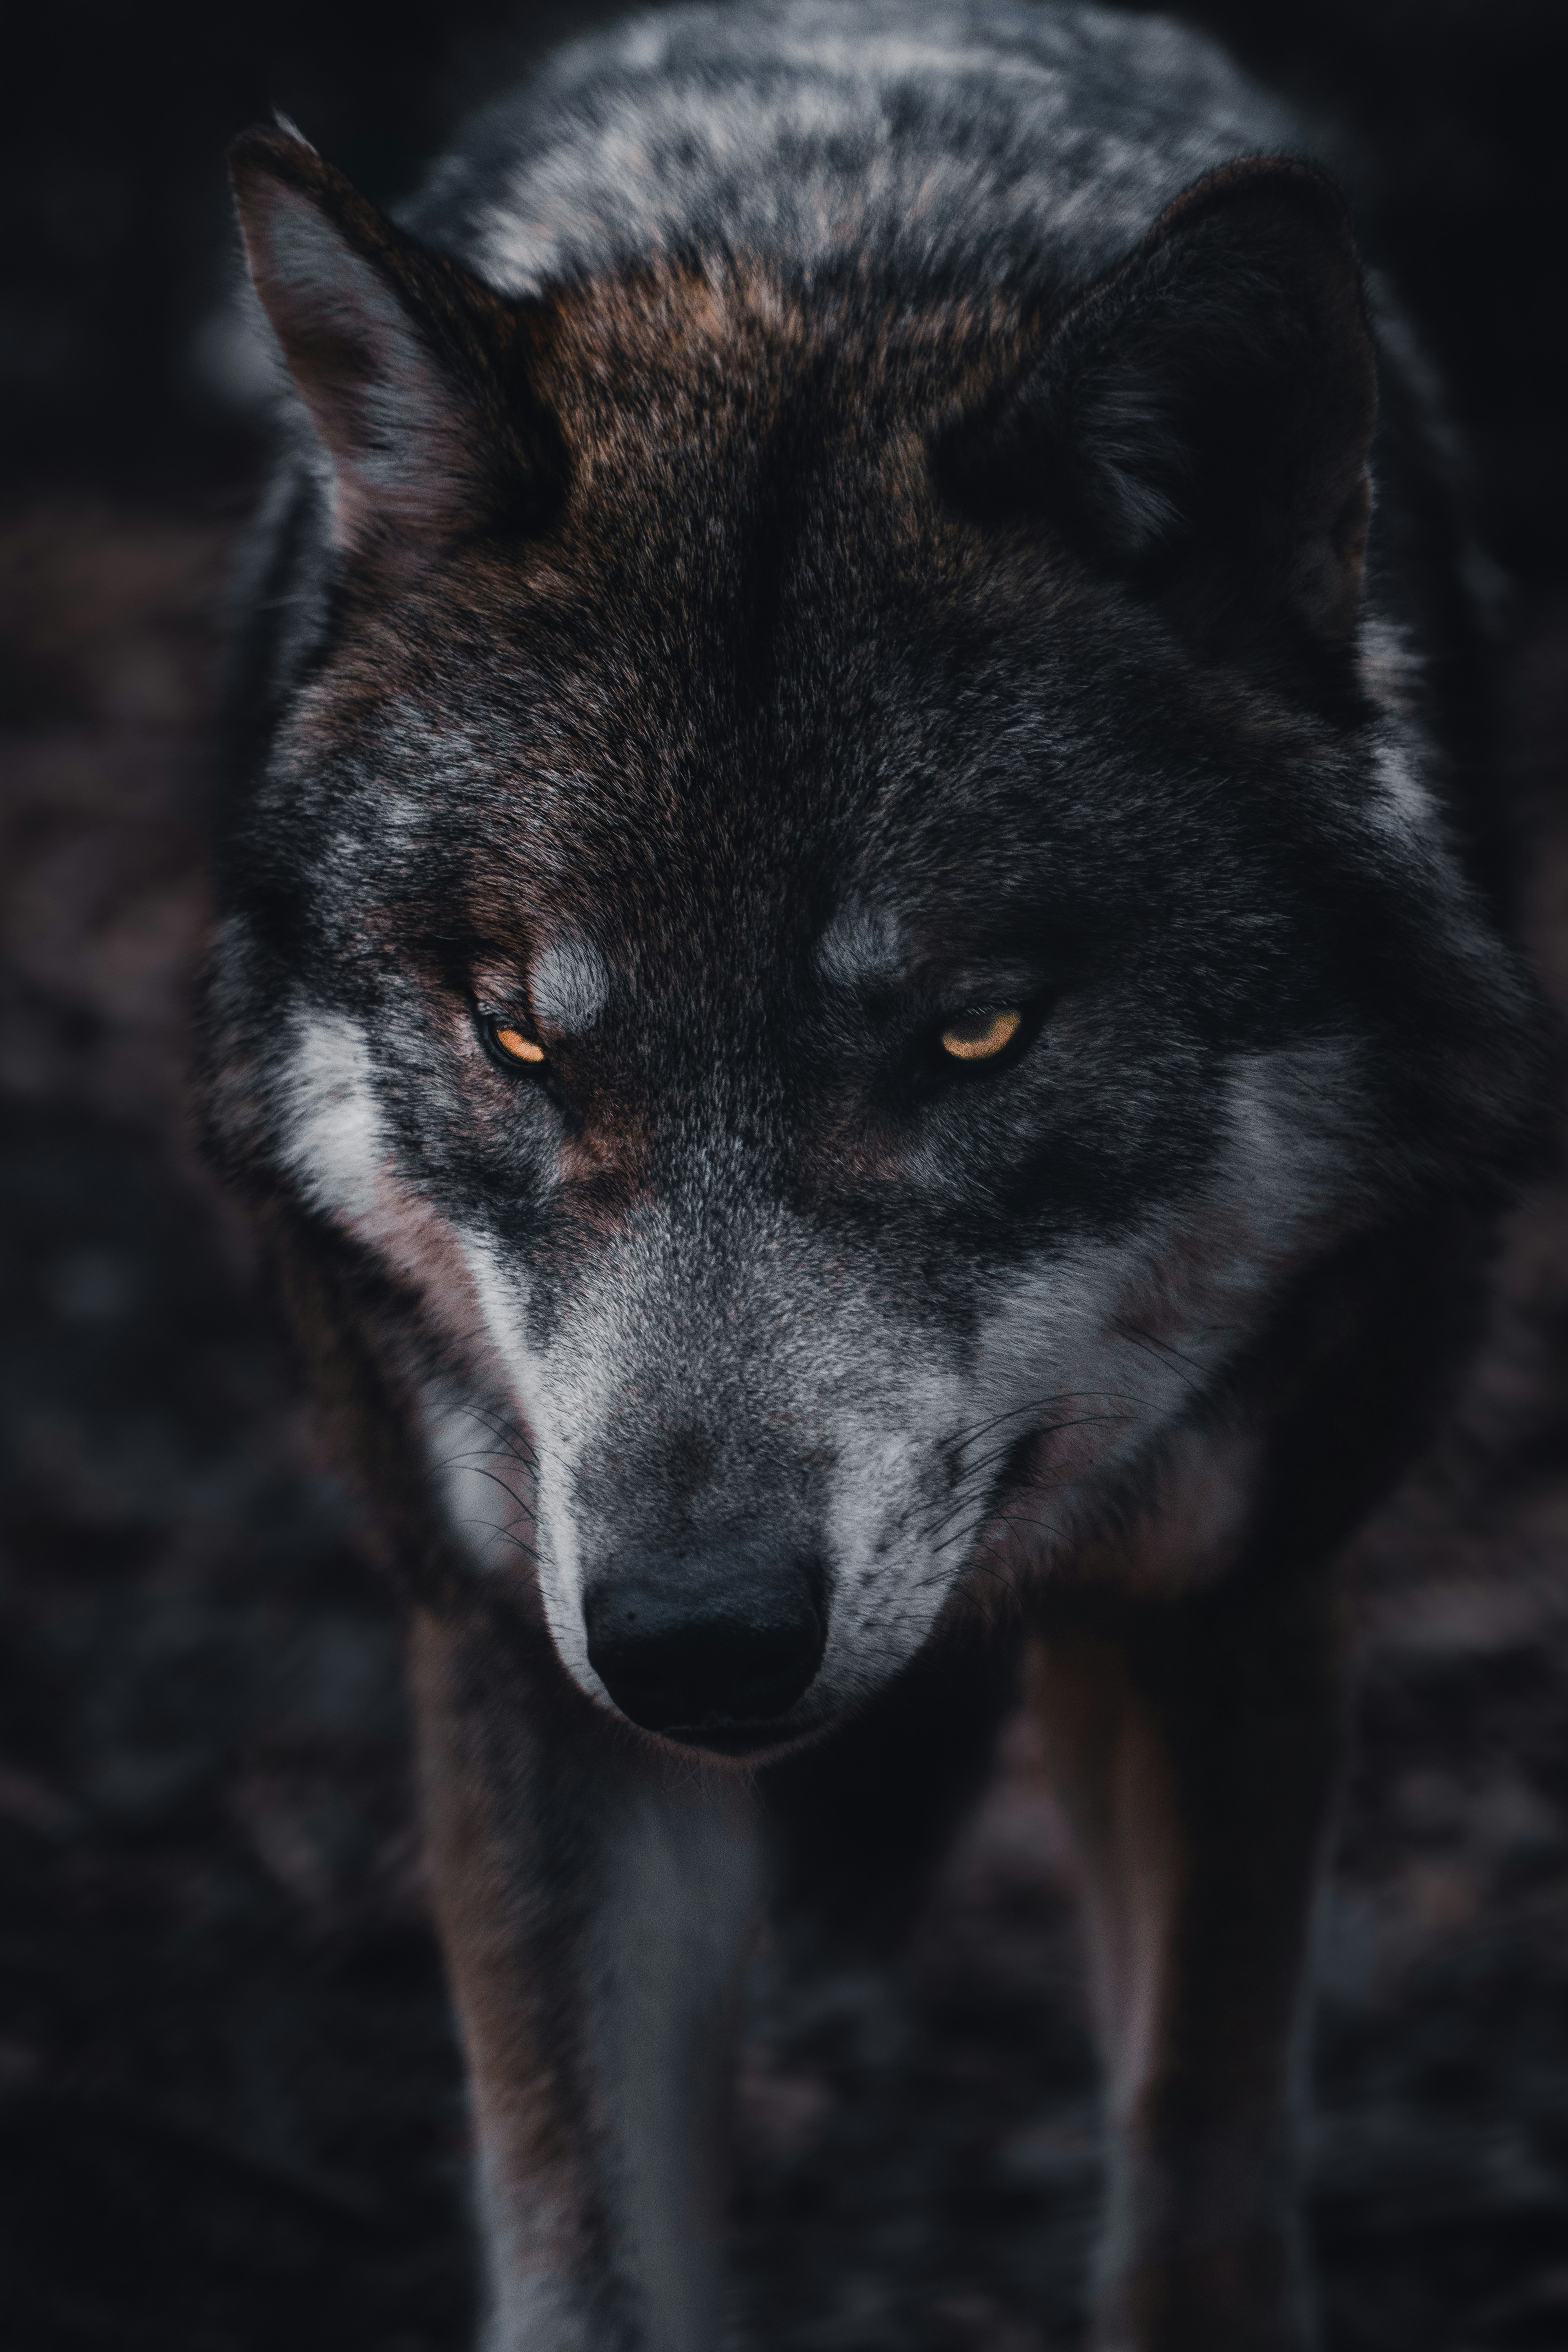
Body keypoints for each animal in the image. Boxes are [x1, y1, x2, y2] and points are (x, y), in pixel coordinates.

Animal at [201, 2, 1542, 2345]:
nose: (693, 1638)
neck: (825, 252)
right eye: (522, 1038)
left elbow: (1198, 2178)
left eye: (972, 1033)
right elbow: (589, 2256)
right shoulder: (514, 1654)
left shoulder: (1237, 1599)